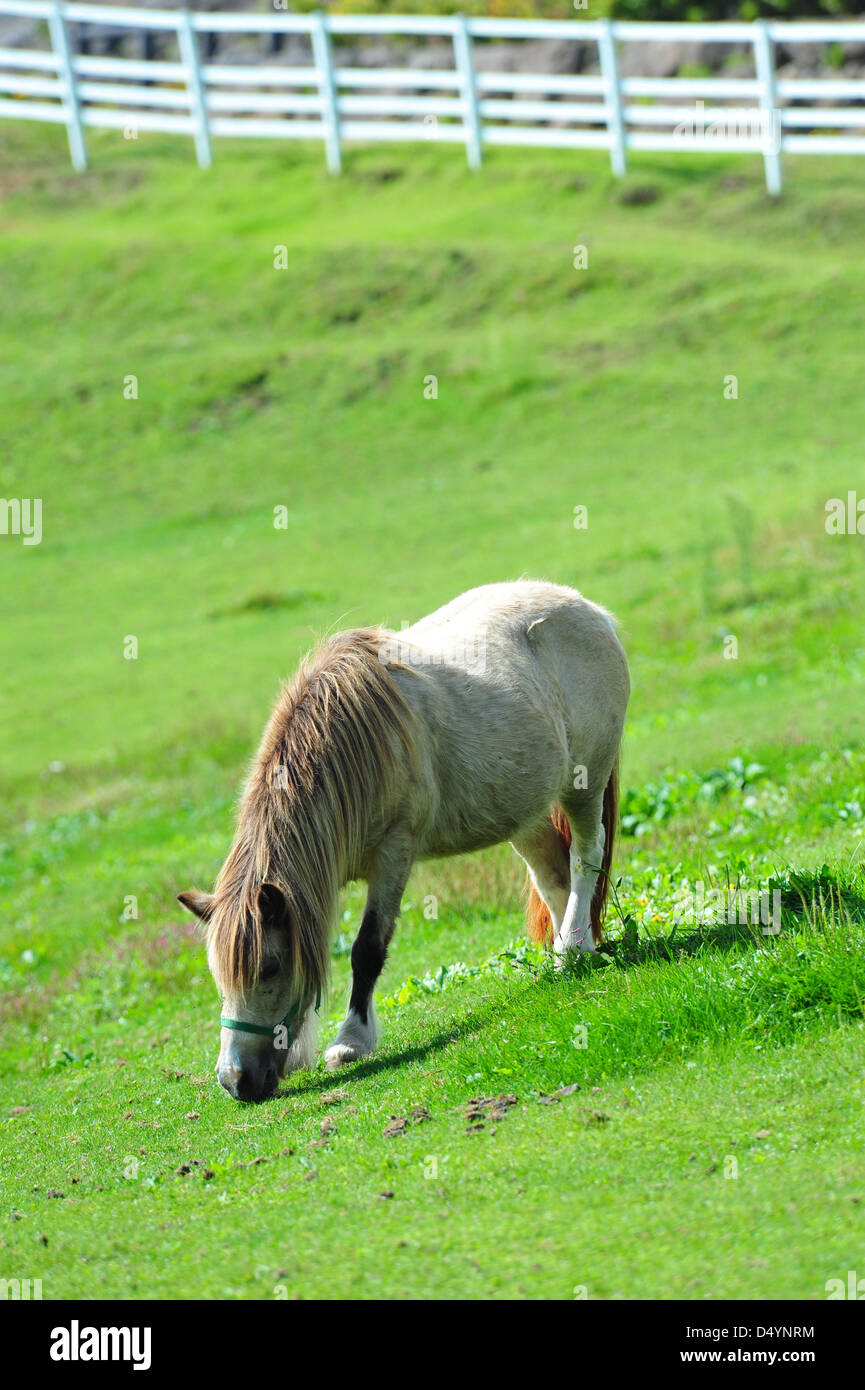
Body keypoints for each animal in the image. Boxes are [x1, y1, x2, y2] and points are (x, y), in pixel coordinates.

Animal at [178, 579, 629, 1101]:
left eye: (269, 968)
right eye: (218, 975)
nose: (236, 1081)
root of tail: (590, 609)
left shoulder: (395, 852)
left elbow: (367, 949)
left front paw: (351, 1041)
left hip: (583, 786)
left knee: (584, 858)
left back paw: (573, 948)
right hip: (526, 813)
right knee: (553, 877)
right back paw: (569, 954)